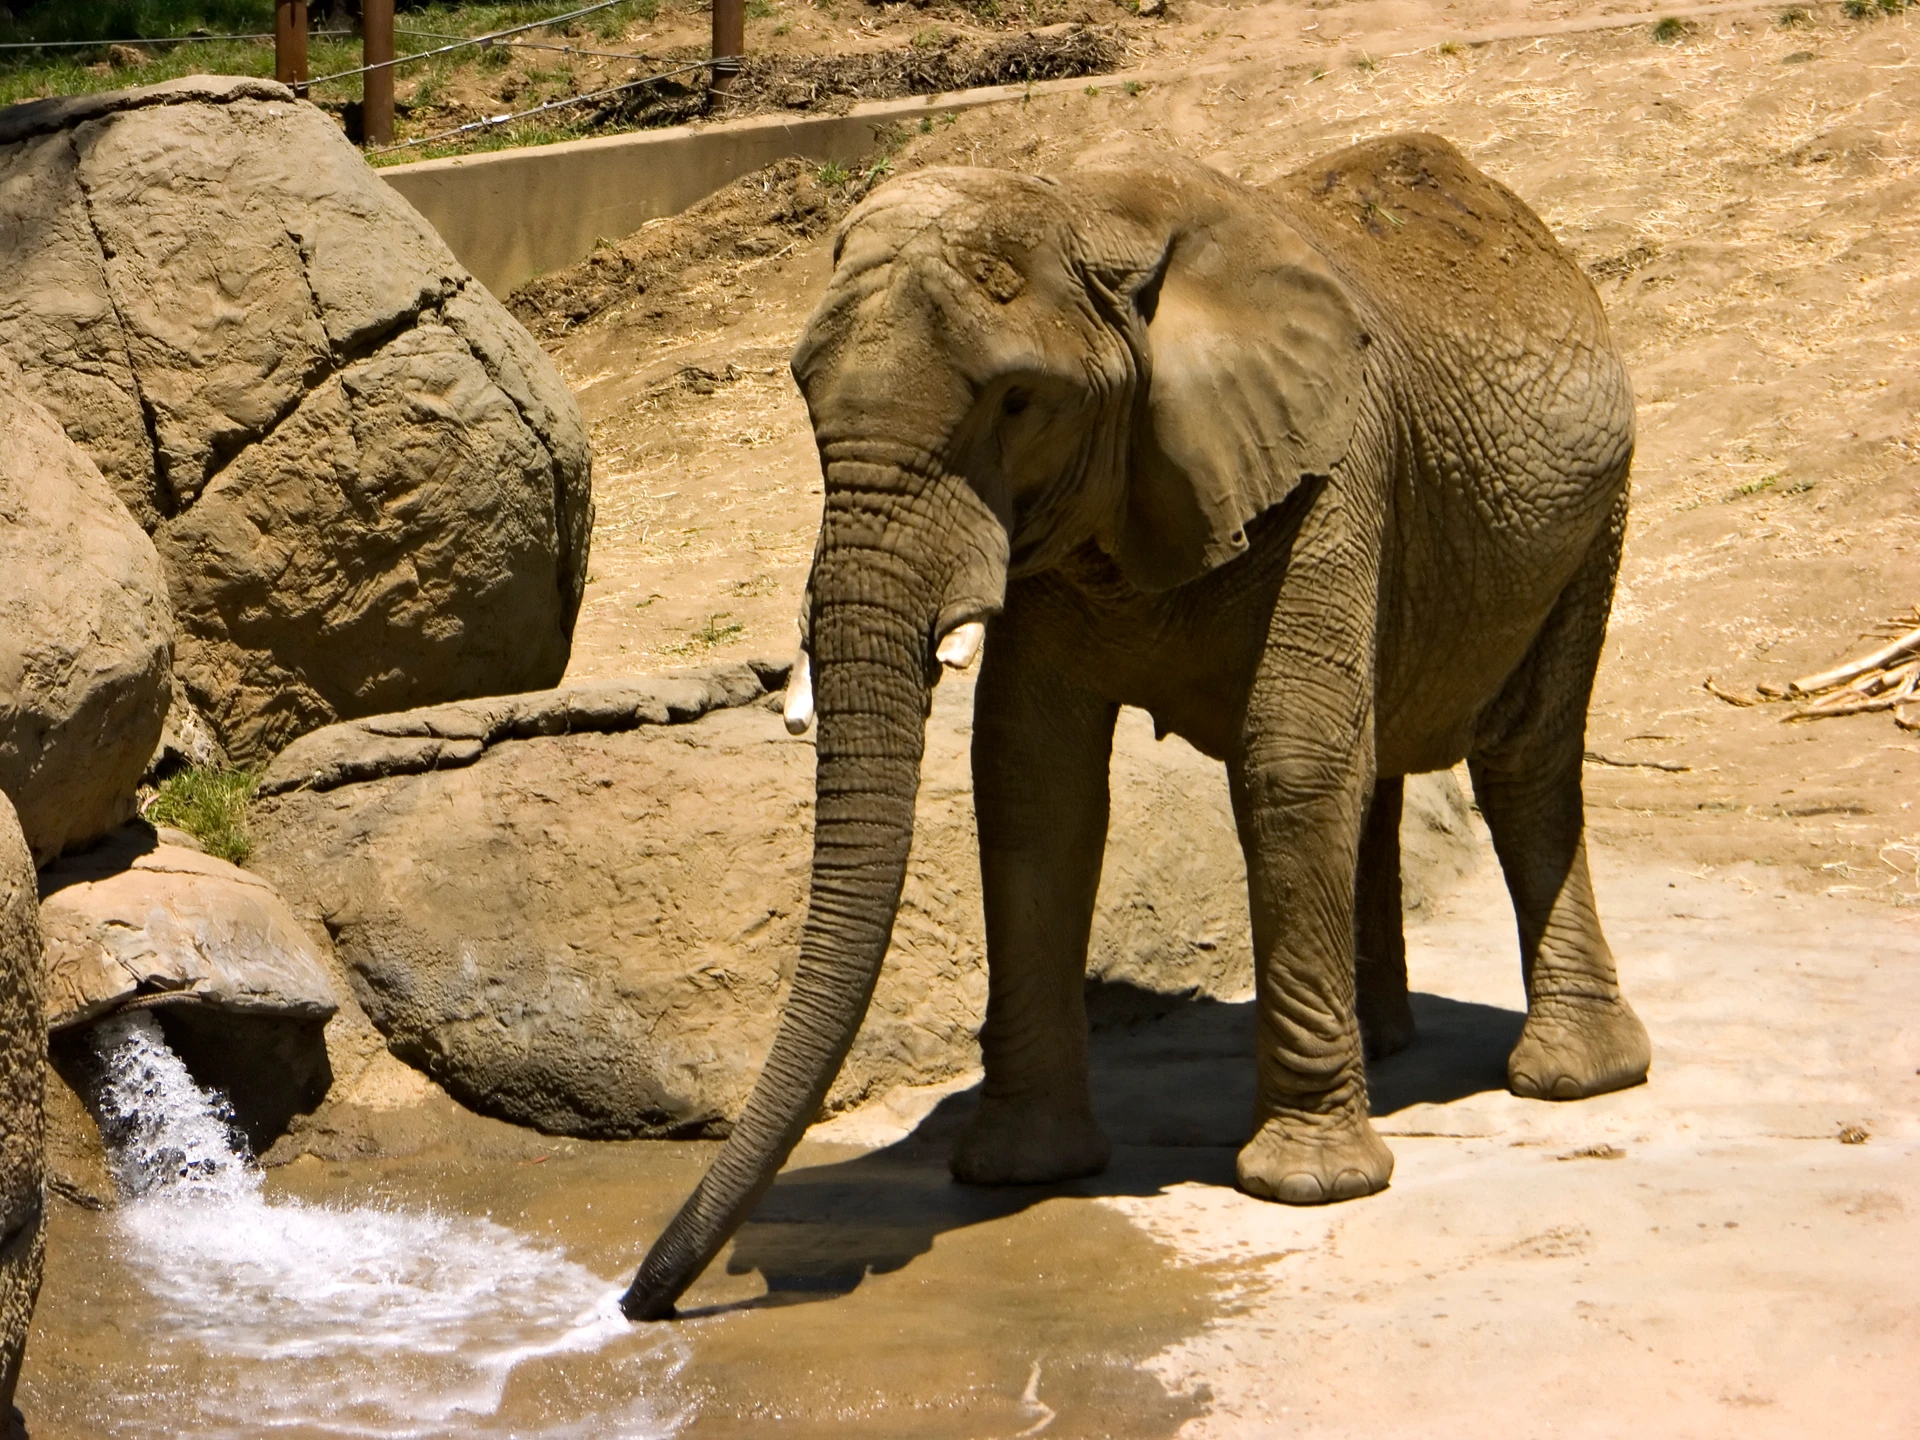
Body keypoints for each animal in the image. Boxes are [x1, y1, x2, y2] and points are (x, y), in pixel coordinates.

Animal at [622, 132, 1651, 1320]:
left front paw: (1309, 1188)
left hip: (1593, 517)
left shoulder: (1336, 468)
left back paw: (1573, 1076)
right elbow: (1033, 779)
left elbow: (1291, 769)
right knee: (1387, 767)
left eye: (1017, 403)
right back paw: (1387, 1045)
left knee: (1524, 762)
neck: (1091, 215)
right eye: (800, 390)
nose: (643, 1302)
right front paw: (1020, 1171)